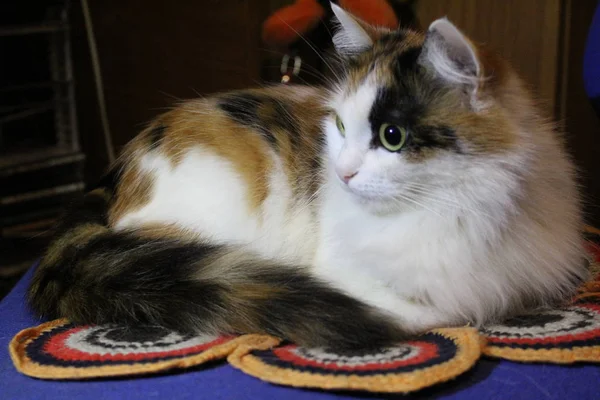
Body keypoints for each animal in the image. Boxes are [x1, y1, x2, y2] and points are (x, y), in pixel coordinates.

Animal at [27, 5, 584, 350]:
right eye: (338, 125)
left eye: (392, 136)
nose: (341, 172)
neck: (456, 210)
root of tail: (112, 183)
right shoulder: (346, 275)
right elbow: (432, 309)